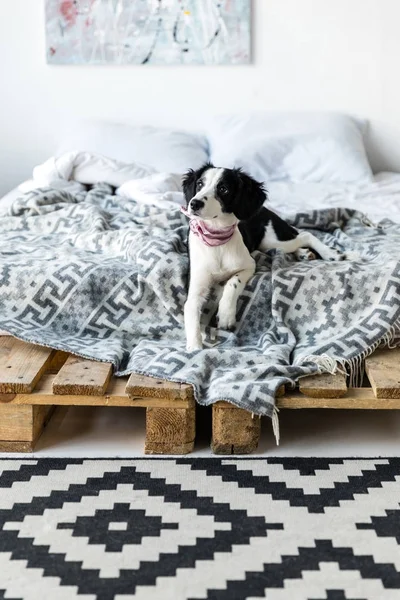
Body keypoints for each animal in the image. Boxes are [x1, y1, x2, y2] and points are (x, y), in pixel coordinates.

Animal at [183, 164, 342, 352]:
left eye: (224, 189)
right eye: (200, 184)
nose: (194, 203)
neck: (217, 240)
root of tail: (267, 210)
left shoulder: (249, 264)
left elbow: (232, 283)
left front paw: (226, 314)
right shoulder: (196, 287)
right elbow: (191, 312)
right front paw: (194, 348)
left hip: (270, 241)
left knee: (305, 235)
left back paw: (330, 254)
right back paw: (303, 253)